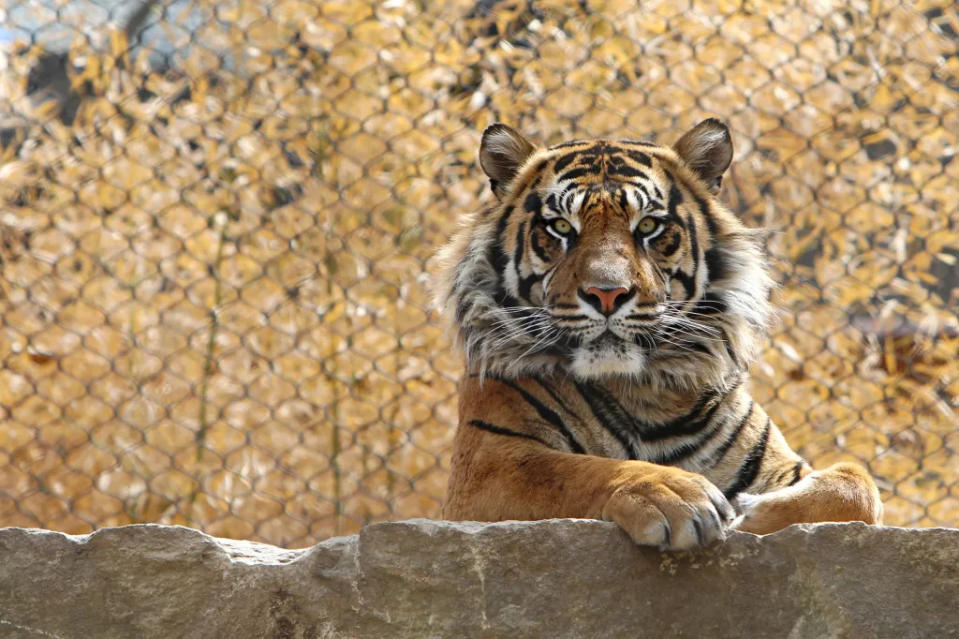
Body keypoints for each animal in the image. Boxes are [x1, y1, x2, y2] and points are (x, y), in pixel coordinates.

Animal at [436, 119, 884, 552]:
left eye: (649, 226)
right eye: (561, 227)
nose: (607, 293)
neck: (645, 395)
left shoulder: (781, 465)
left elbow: (857, 483)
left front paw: (755, 515)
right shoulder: (489, 465)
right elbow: (575, 470)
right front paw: (673, 494)